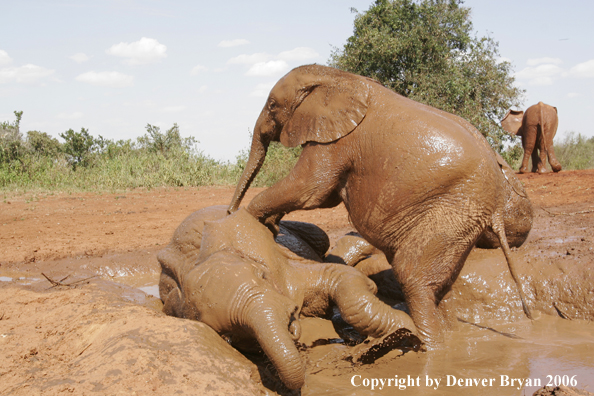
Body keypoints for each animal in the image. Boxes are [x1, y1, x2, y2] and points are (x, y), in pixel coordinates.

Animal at [157, 206, 416, 392]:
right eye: (227, 337)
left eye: (262, 276)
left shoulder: (281, 262)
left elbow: (340, 277)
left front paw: (407, 332)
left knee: (325, 239)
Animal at [227, 64, 532, 346]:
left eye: (272, 106)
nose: (228, 210)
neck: (338, 76)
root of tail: (496, 199)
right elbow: (322, 194)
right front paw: (267, 223)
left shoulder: (337, 140)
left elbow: (311, 188)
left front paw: (249, 220)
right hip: (462, 218)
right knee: (440, 287)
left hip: (454, 209)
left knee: (413, 278)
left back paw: (431, 348)